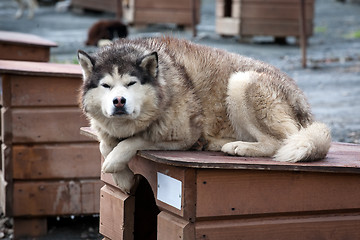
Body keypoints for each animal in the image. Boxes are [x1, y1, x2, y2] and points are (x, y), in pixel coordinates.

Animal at [79, 37, 332, 193]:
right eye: (106, 86)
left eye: (131, 83)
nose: (119, 101)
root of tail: (303, 100)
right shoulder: (105, 129)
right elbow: (104, 144)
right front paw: (122, 176)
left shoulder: (182, 135)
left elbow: (134, 141)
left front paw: (115, 163)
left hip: (241, 81)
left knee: (280, 141)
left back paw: (240, 147)